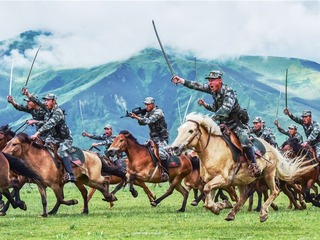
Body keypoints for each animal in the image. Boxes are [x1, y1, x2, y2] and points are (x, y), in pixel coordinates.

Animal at [171, 112, 316, 221]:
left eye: (191, 130)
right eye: (179, 130)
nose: (175, 148)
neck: (212, 151)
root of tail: (273, 149)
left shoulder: (223, 179)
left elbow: (207, 192)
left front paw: (220, 206)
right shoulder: (211, 181)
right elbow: (207, 200)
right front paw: (221, 205)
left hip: (268, 174)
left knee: (275, 191)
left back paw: (264, 213)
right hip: (242, 181)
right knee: (243, 197)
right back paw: (231, 214)